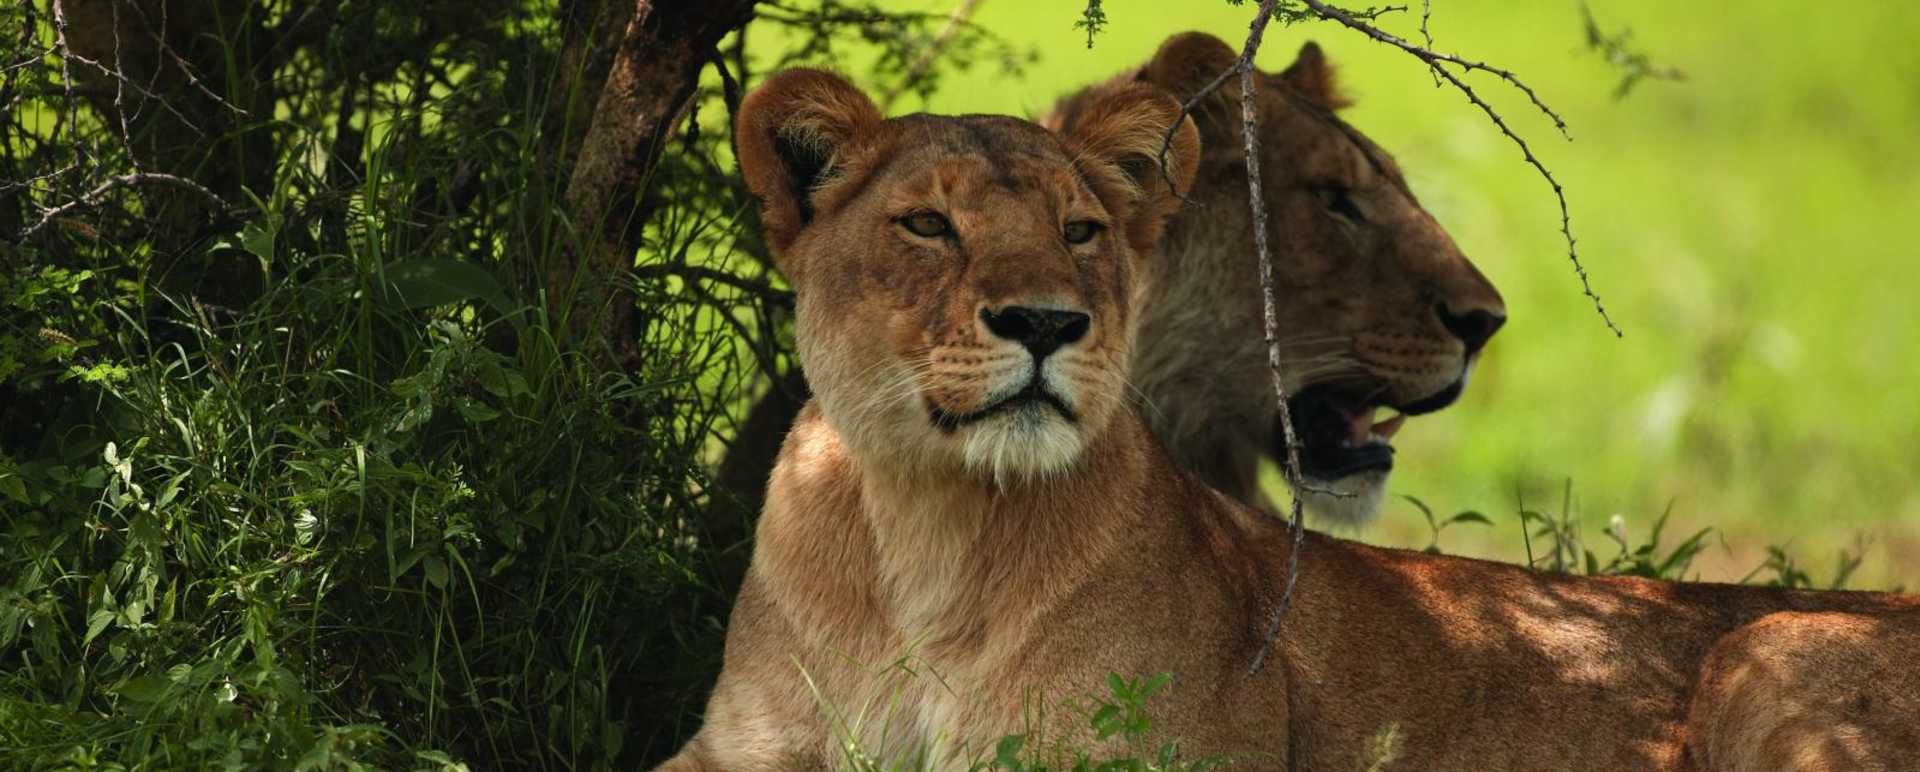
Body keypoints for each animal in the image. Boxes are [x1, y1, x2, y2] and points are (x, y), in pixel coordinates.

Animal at [659, 58, 1920, 771]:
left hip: (1769, 645)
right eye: (926, 225)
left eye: (1081, 230)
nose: (1046, 322)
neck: (924, 524)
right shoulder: (729, 750)